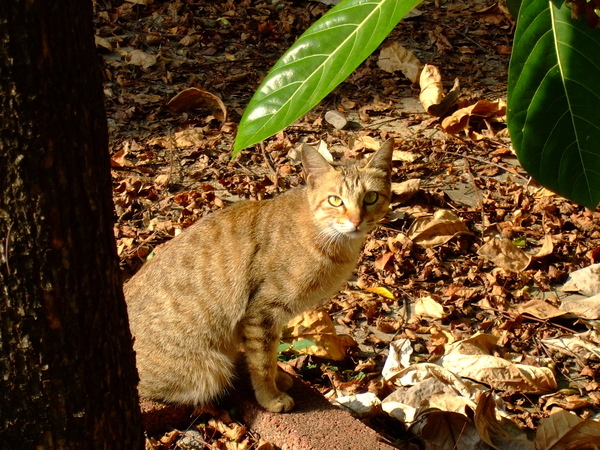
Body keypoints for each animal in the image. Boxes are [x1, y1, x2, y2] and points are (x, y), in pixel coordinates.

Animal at [123, 138, 394, 412]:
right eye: (335, 200)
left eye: (370, 197)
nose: (356, 221)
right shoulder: (262, 312)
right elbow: (262, 361)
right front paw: (270, 396)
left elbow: (269, 354)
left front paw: (278, 378)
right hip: (210, 371)